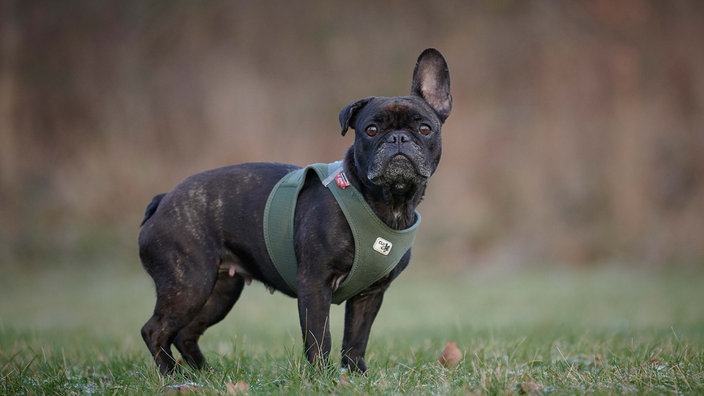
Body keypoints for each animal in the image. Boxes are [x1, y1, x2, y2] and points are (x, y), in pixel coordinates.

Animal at [139, 47, 452, 374]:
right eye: (371, 130)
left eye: (425, 128)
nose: (398, 138)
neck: (388, 203)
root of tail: (163, 200)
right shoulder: (314, 283)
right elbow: (319, 336)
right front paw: (322, 375)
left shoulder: (369, 296)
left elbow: (356, 337)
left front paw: (356, 374)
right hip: (189, 282)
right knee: (155, 329)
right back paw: (171, 373)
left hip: (219, 291)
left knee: (185, 332)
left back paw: (205, 373)